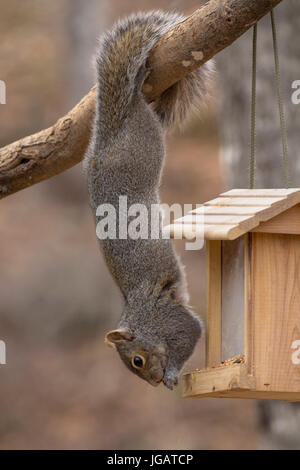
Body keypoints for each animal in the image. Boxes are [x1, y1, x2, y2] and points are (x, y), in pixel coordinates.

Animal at [83, 10, 212, 390]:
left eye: (137, 361)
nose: (153, 382)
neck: (141, 319)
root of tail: (108, 136)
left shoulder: (171, 320)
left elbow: (192, 332)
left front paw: (171, 374)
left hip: (145, 141)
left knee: (138, 104)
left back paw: (139, 81)